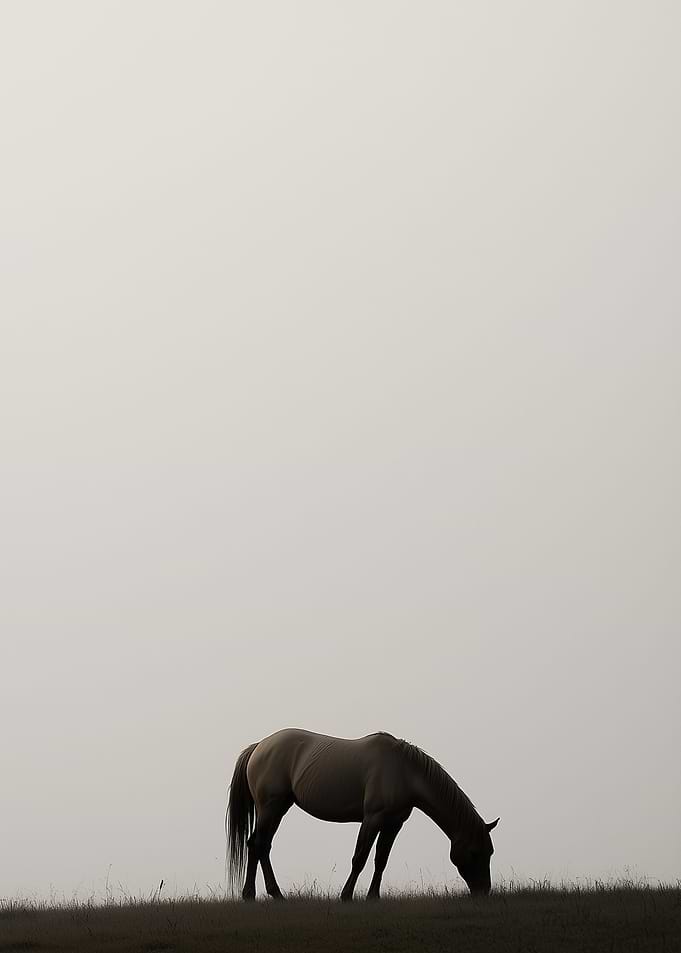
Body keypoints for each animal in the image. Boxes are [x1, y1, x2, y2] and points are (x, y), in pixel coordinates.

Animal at [226, 727, 499, 901]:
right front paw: (346, 896)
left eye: (490, 852)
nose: (484, 891)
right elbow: (360, 858)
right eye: (475, 852)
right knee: (259, 845)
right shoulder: (372, 819)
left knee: (258, 844)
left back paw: (256, 894)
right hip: (270, 808)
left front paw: (373, 897)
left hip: (278, 808)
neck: (404, 772)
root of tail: (259, 747)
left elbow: (381, 860)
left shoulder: (393, 824)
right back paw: (269, 894)